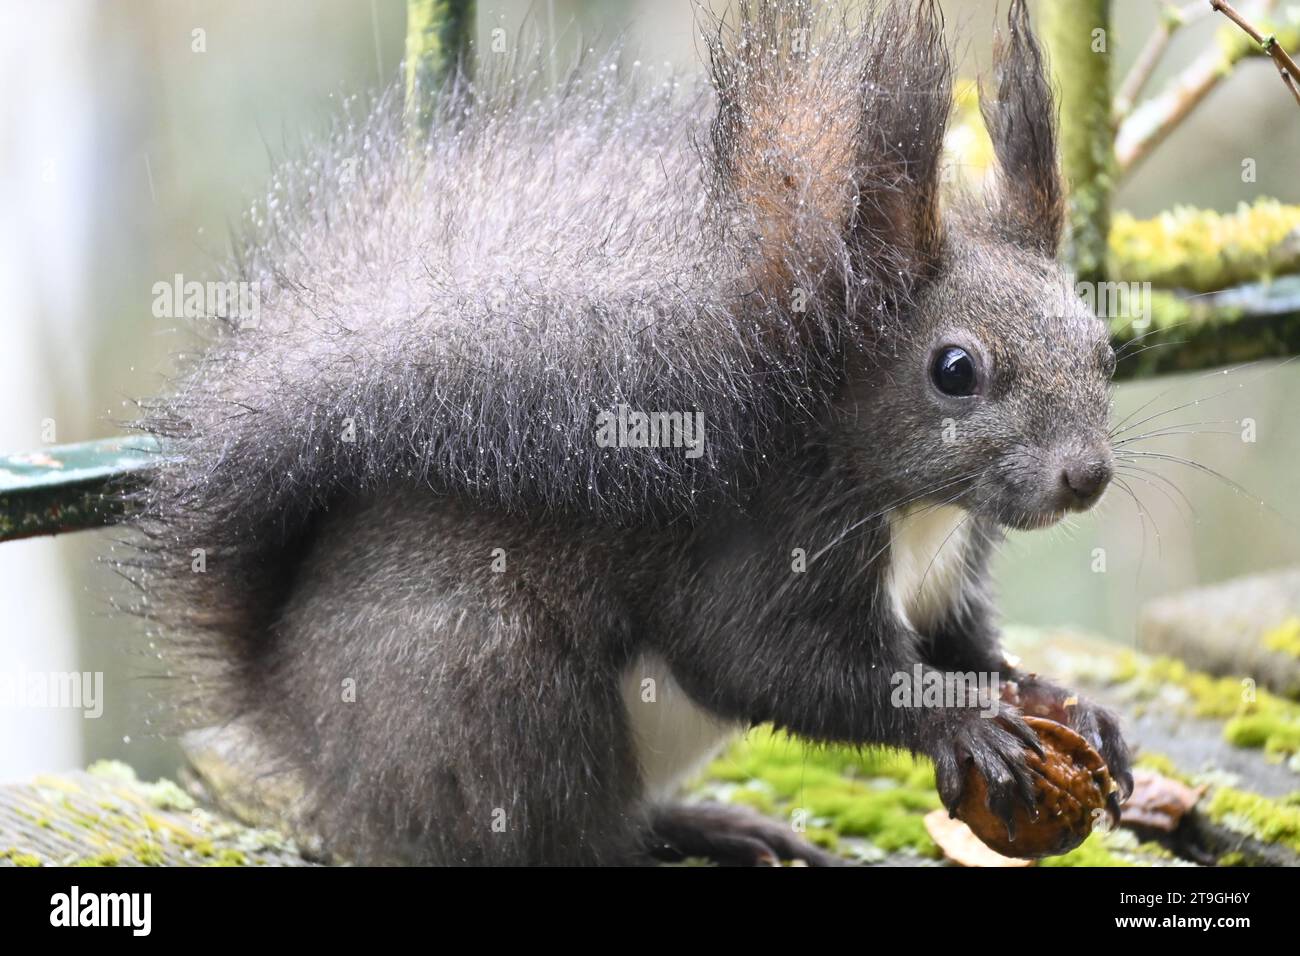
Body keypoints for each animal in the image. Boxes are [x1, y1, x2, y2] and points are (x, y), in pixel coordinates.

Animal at [126, 0, 1133, 868]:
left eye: (1100, 345)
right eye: (954, 370)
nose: (1086, 477)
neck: (912, 508)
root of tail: (296, 724)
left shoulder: (948, 580)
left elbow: (972, 648)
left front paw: (1066, 704)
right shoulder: (773, 551)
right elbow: (771, 666)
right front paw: (958, 720)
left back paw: (705, 825)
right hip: (499, 702)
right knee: (553, 836)